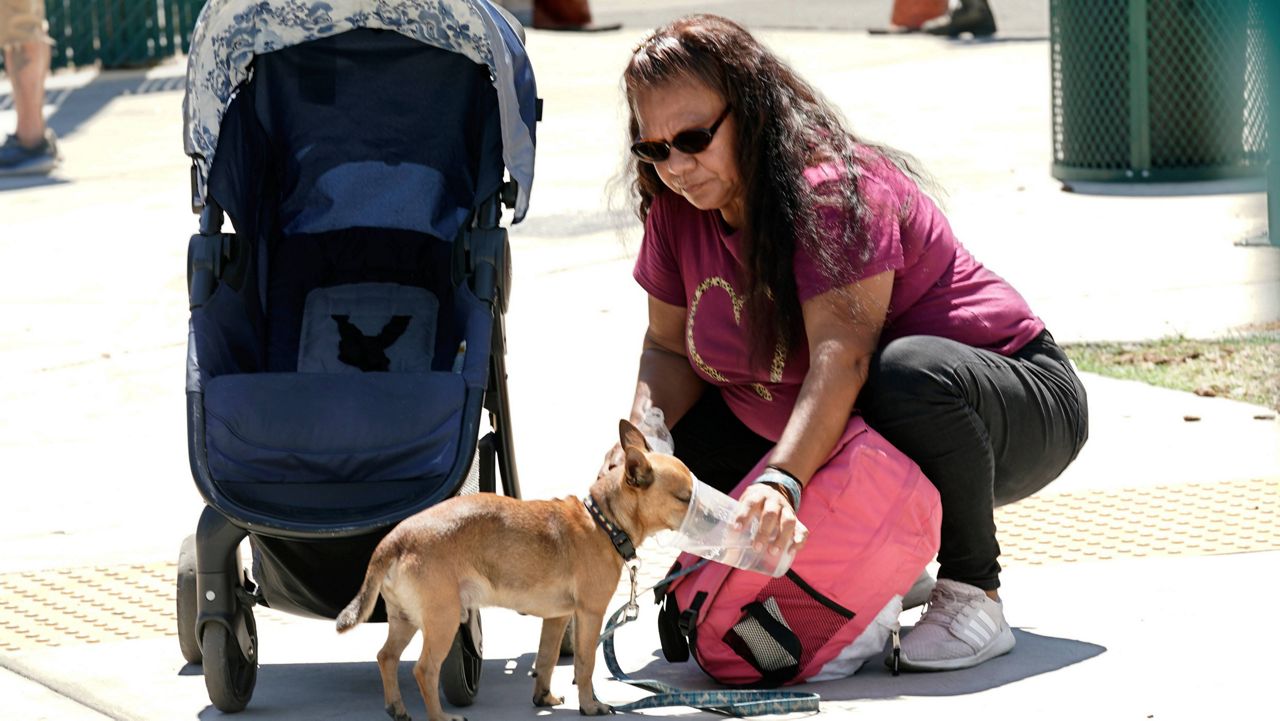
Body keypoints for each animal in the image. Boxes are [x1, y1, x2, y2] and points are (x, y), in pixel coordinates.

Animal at [340, 420, 696, 721]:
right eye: (684, 498)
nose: (704, 510)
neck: (604, 521)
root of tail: (395, 539)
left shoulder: (557, 618)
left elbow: (546, 659)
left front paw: (544, 698)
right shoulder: (590, 613)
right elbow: (585, 663)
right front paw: (590, 705)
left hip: (405, 618)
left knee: (386, 657)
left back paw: (397, 708)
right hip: (444, 619)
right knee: (424, 669)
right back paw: (440, 717)